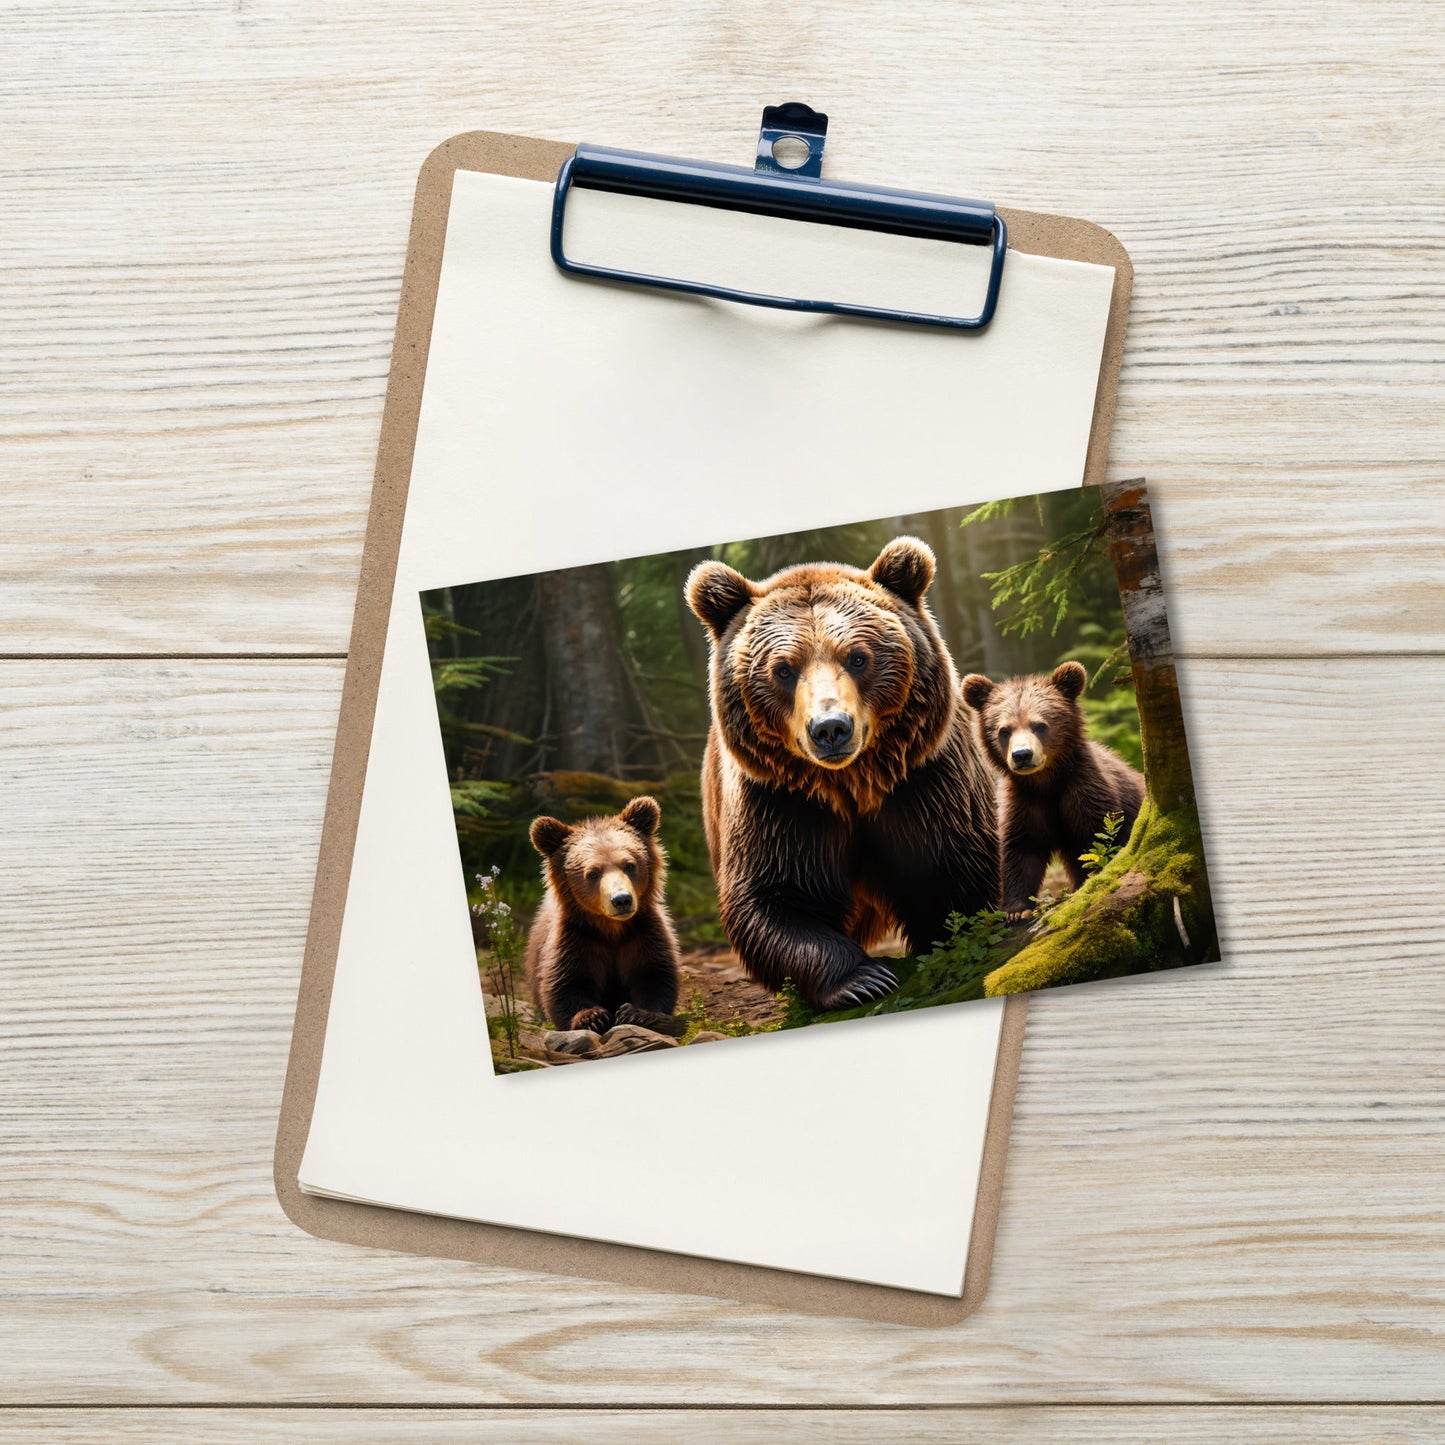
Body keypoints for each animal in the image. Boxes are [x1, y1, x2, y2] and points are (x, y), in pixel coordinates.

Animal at [524, 796, 683, 1034]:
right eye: (592, 873)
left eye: (629, 865)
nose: (622, 899)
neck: (611, 928)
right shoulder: (577, 938)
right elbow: (566, 983)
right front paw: (592, 1017)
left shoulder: (643, 933)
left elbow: (656, 975)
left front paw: (637, 1013)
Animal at [685, 537, 999, 1012]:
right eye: (783, 669)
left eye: (857, 657)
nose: (830, 728)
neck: (852, 783)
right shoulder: (780, 802)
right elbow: (772, 899)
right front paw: (864, 979)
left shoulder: (925, 781)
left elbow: (958, 871)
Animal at [961, 661, 1146, 922]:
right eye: (1003, 730)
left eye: (1039, 725)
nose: (1022, 755)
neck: (1046, 782)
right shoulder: (1024, 802)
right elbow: (1022, 849)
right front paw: (1016, 910)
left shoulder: (1084, 790)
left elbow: (1100, 839)